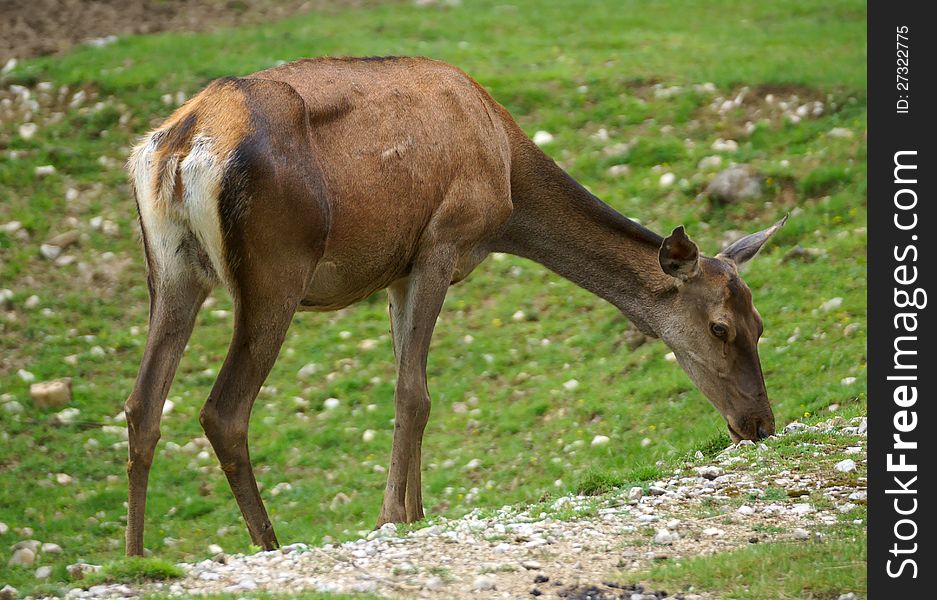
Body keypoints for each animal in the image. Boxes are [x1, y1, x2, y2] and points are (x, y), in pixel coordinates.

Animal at [122, 56, 784, 552]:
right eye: (720, 327)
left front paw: (415, 512)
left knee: (142, 404)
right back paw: (270, 543)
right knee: (222, 411)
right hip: (275, 268)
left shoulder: (397, 270)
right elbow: (415, 393)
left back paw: (136, 557)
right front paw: (392, 517)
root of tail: (181, 147)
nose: (760, 424)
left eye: (760, 324)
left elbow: (406, 385)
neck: (508, 182)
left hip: (172, 268)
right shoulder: (442, 242)